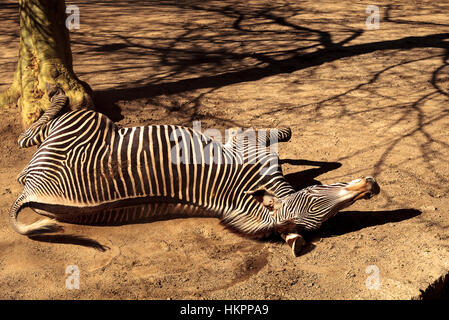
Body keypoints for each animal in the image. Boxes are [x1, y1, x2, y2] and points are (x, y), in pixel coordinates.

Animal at [8, 87, 378, 255]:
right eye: (316, 197)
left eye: (329, 220)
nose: (372, 186)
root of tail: (30, 193)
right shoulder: (248, 142)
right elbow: (284, 134)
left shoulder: (248, 144)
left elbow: (285, 137)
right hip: (82, 121)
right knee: (30, 135)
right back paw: (57, 94)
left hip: (78, 126)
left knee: (33, 136)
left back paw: (57, 96)